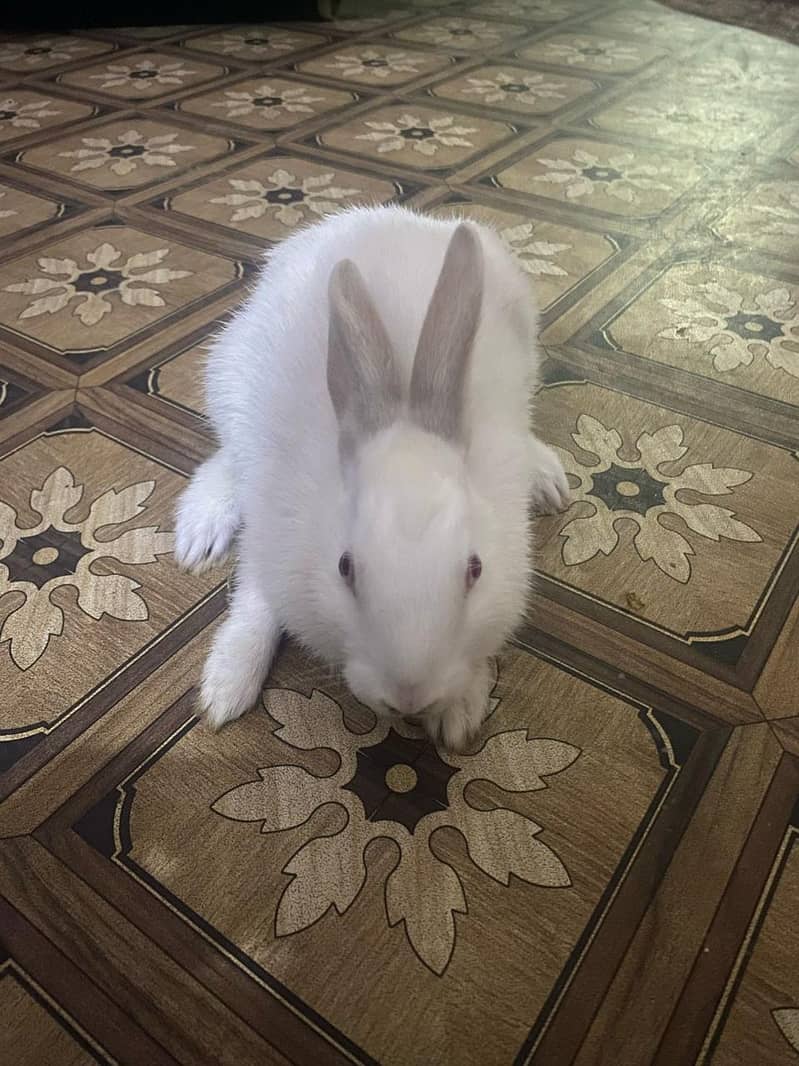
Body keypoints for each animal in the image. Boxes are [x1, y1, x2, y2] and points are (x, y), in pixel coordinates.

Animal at [174, 205, 569, 752]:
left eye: (476, 570)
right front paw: (226, 686)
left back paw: (547, 475)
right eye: (345, 568)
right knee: (224, 458)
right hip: (228, 379)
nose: (409, 698)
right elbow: (256, 601)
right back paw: (201, 531)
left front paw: (460, 713)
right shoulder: (272, 535)